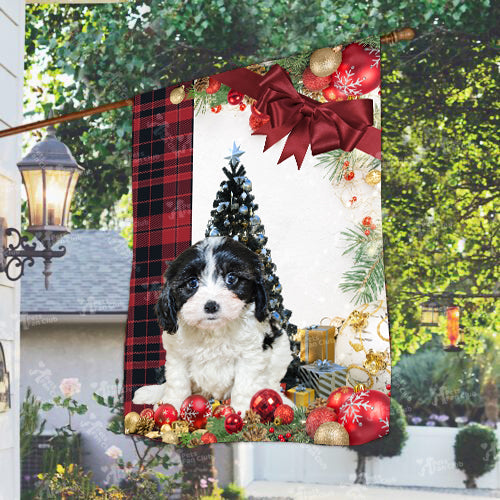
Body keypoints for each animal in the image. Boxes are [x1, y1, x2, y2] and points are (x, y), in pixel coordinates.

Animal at [133, 236, 292, 412]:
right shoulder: (178, 355)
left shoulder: (250, 354)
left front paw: (242, 411)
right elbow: (177, 381)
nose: (211, 306)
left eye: (231, 278)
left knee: (271, 381)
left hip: (282, 347)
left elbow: (244, 385)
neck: (213, 330)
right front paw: (172, 404)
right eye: (192, 283)